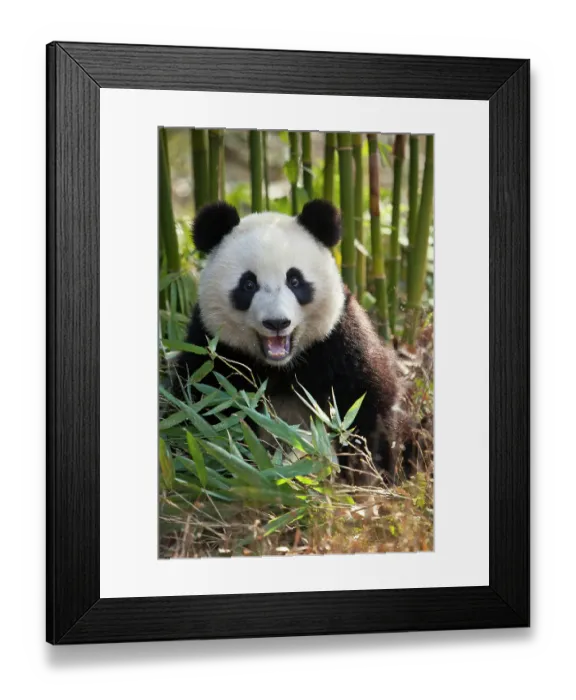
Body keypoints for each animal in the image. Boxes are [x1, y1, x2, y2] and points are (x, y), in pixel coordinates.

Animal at [172, 199, 405, 480]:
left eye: (294, 280)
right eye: (248, 284)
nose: (277, 323)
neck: (280, 366)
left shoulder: (339, 341)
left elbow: (366, 402)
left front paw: (365, 470)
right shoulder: (212, 350)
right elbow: (203, 411)